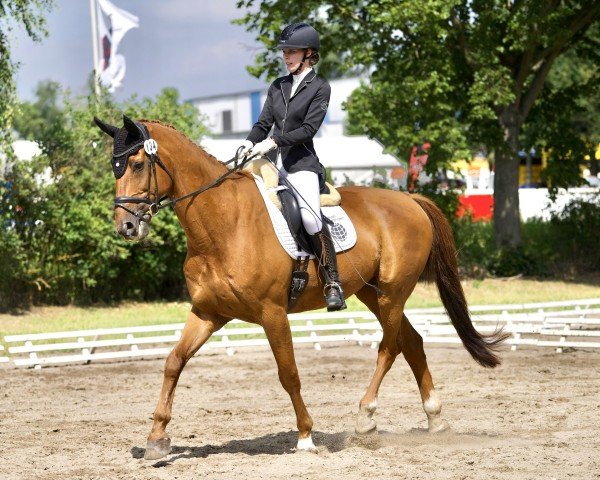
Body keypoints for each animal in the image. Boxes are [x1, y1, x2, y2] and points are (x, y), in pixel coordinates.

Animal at [94, 115, 506, 462]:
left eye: (137, 165)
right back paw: (435, 419)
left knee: (389, 348)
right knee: (412, 342)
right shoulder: (209, 312)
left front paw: (306, 436)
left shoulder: (272, 312)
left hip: (392, 293)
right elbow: (173, 362)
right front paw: (156, 438)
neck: (222, 223)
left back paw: (365, 417)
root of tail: (410, 200)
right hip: (372, 293)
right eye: (114, 167)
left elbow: (288, 372)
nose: (126, 227)